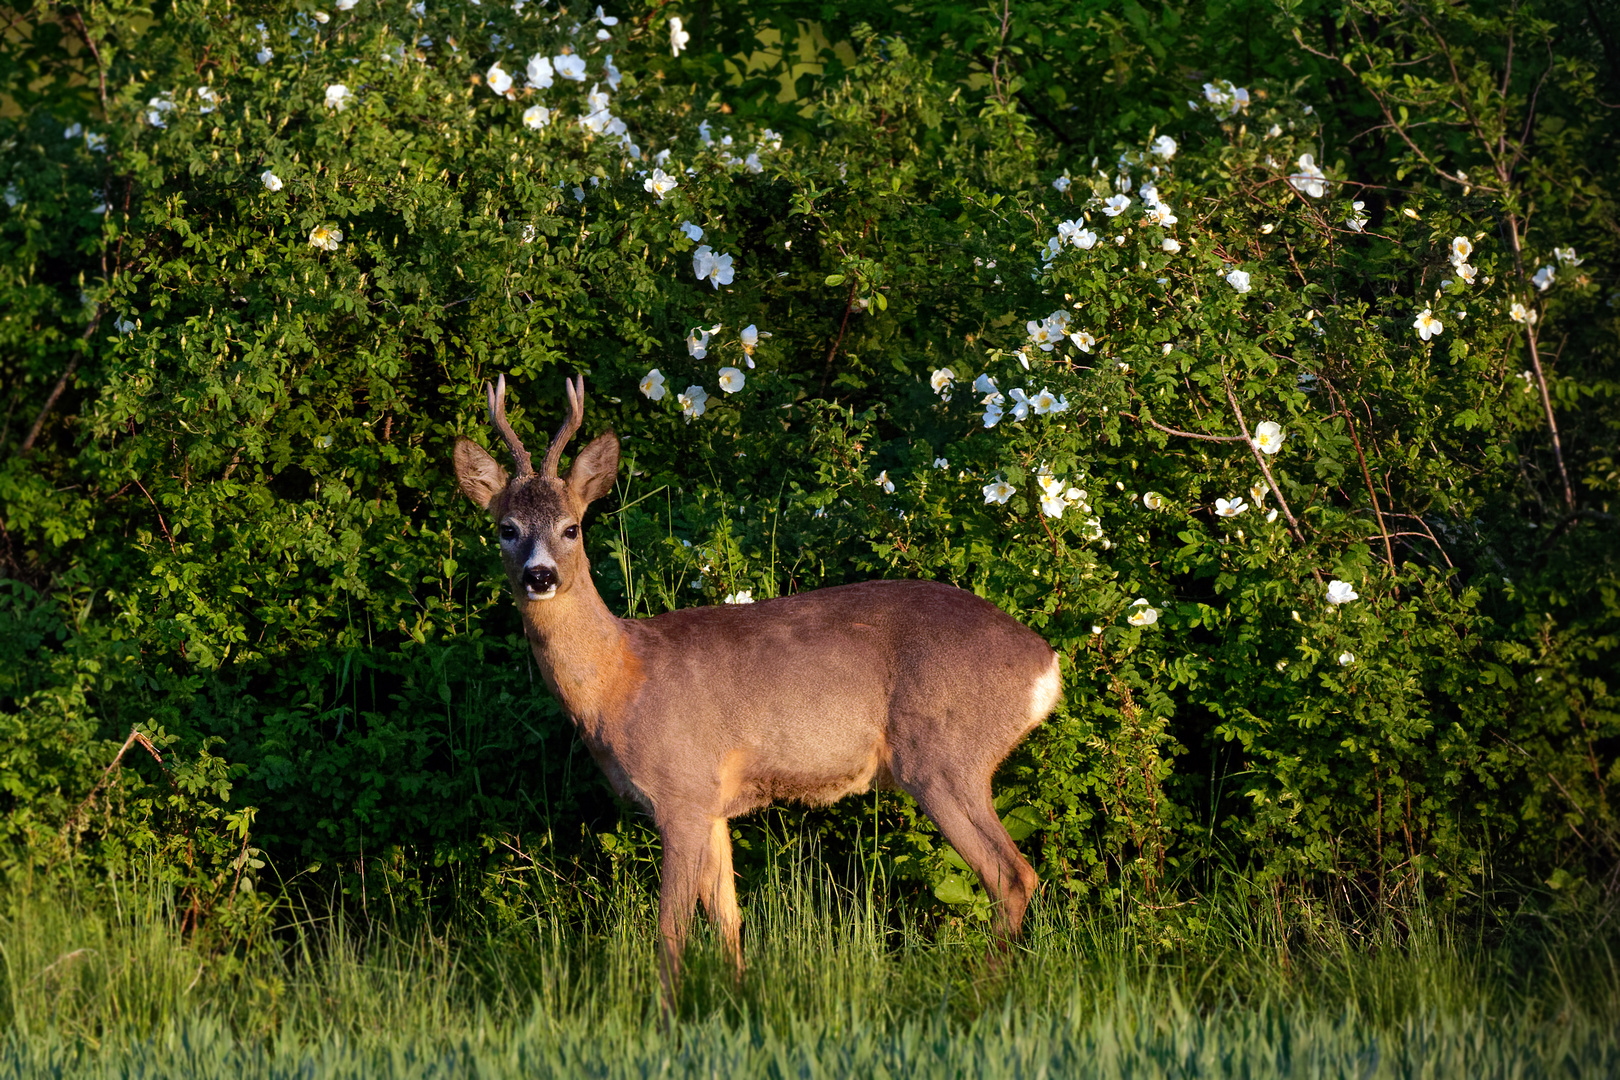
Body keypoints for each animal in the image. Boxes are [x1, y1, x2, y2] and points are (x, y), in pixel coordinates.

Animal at [456, 372, 1062, 997]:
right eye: (506, 529)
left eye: (572, 527)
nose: (540, 575)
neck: (621, 679)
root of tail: (1044, 664)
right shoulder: (713, 805)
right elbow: (727, 914)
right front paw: (737, 995)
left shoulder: (682, 790)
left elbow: (671, 925)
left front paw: (667, 1009)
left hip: (944, 758)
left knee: (1011, 874)